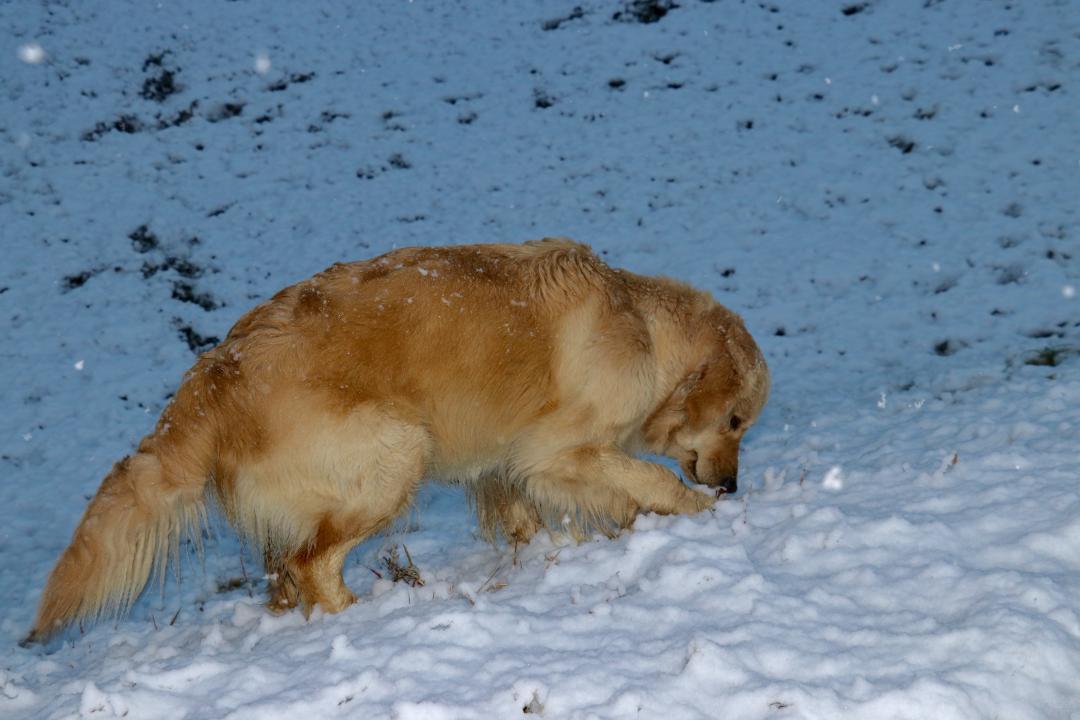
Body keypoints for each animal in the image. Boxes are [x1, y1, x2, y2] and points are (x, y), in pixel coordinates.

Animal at [25, 239, 768, 643]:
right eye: (736, 421)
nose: (733, 483)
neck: (640, 323)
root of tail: (217, 370)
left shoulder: (500, 464)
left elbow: (528, 516)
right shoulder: (555, 452)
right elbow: (646, 477)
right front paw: (694, 511)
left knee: (284, 572)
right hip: (397, 449)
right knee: (312, 564)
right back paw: (367, 614)